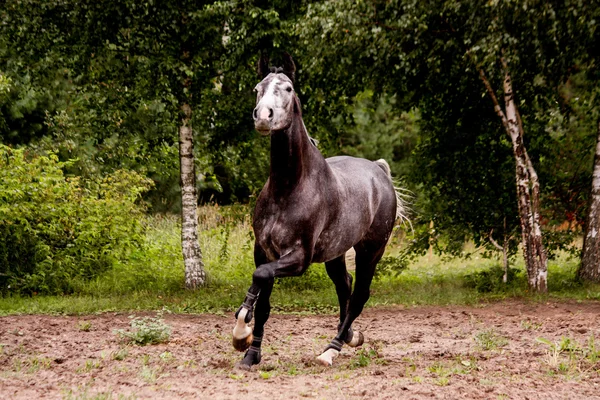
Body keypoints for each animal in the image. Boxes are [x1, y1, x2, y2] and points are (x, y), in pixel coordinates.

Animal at [230, 53, 408, 368]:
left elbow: (260, 276)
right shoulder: (263, 251)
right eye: (257, 88)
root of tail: (380, 172)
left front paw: (241, 334)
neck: (289, 188)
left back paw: (331, 350)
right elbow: (263, 302)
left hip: (371, 249)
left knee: (359, 294)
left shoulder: (299, 258)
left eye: (288, 88)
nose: (263, 117)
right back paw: (350, 336)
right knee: (345, 286)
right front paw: (250, 354)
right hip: (336, 253)